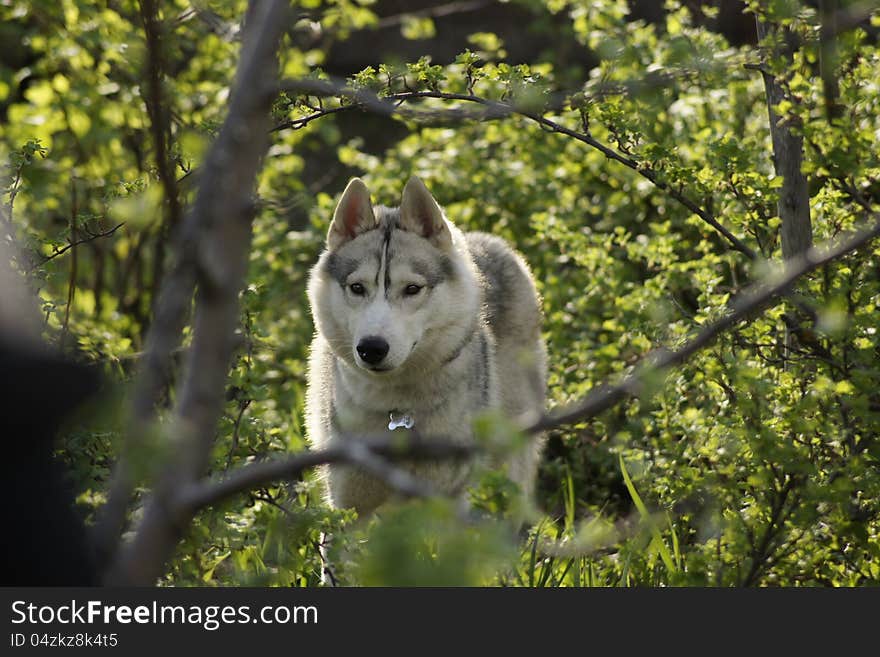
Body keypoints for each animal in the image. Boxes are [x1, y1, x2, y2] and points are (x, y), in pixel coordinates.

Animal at [306, 177, 548, 516]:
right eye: (357, 288)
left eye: (412, 289)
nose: (371, 348)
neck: (397, 409)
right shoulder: (349, 502)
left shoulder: (446, 497)